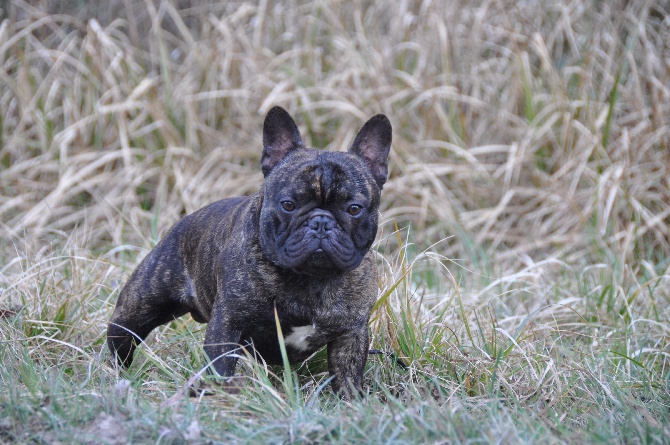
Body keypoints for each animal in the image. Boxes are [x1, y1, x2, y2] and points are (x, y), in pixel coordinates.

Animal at [107, 106, 394, 398]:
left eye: (354, 209)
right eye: (288, 204)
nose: (321, 222)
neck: (311, 279)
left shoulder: (351, 335)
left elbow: (347, 377)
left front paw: (351, 402)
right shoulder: (228, 325)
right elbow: (220, 368)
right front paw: (219, 396)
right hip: (137, 309)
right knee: (122, 340)